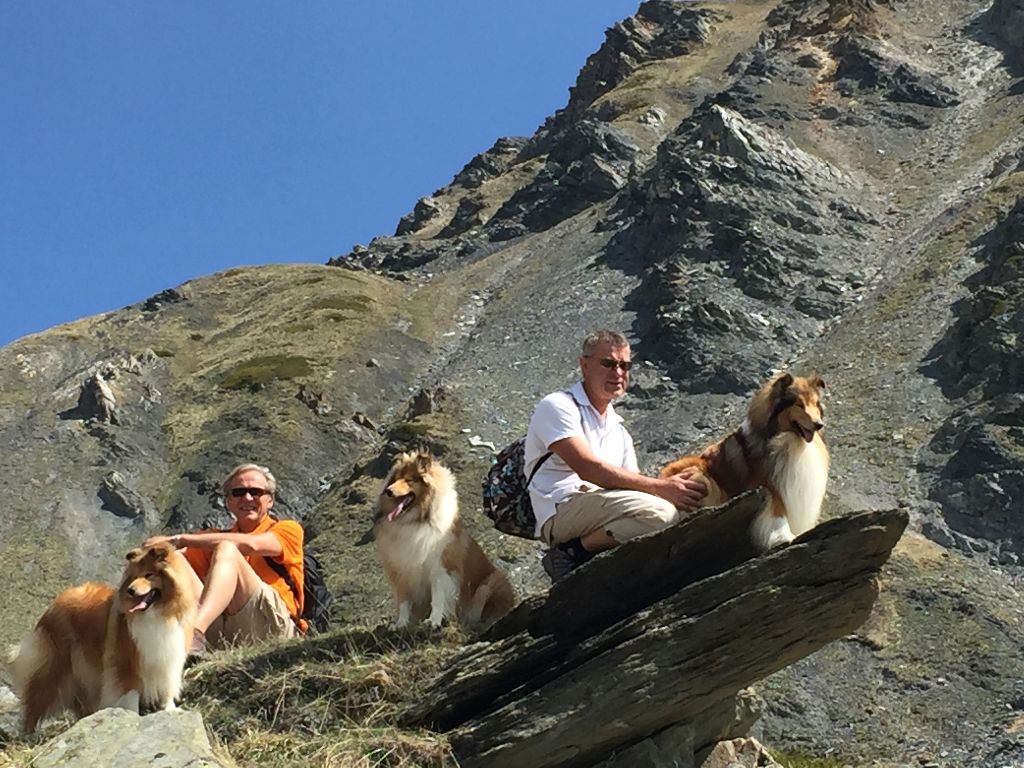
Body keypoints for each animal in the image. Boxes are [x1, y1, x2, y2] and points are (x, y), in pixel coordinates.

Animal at [6, 540, 197, 733]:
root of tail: (55, 602)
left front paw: (170, 710)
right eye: (134, 576)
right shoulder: (125, 663)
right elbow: (130, 694)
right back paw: (27, 735)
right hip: (53, 668)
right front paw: (131, 717)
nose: (130, 591)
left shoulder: (170, 658)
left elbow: (168, 686)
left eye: (149, 574)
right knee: (33, 703)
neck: (157, 612)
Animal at [374, 454, 516, 626]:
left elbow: (438, 597)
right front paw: (401, 624)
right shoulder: (400, 570)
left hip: (491, 582)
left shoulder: (441, 567)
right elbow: (403, 601)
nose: (388, 491)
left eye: (409, 480)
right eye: (394, 479)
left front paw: (434, 621)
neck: (415, 520)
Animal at [659, 374, 827, 548]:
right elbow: (778, 512)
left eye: (815, 403)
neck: (791, 439)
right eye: (799, 404)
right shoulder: (770, 485)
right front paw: (783, 537)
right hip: (701, 478)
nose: (819, 425)